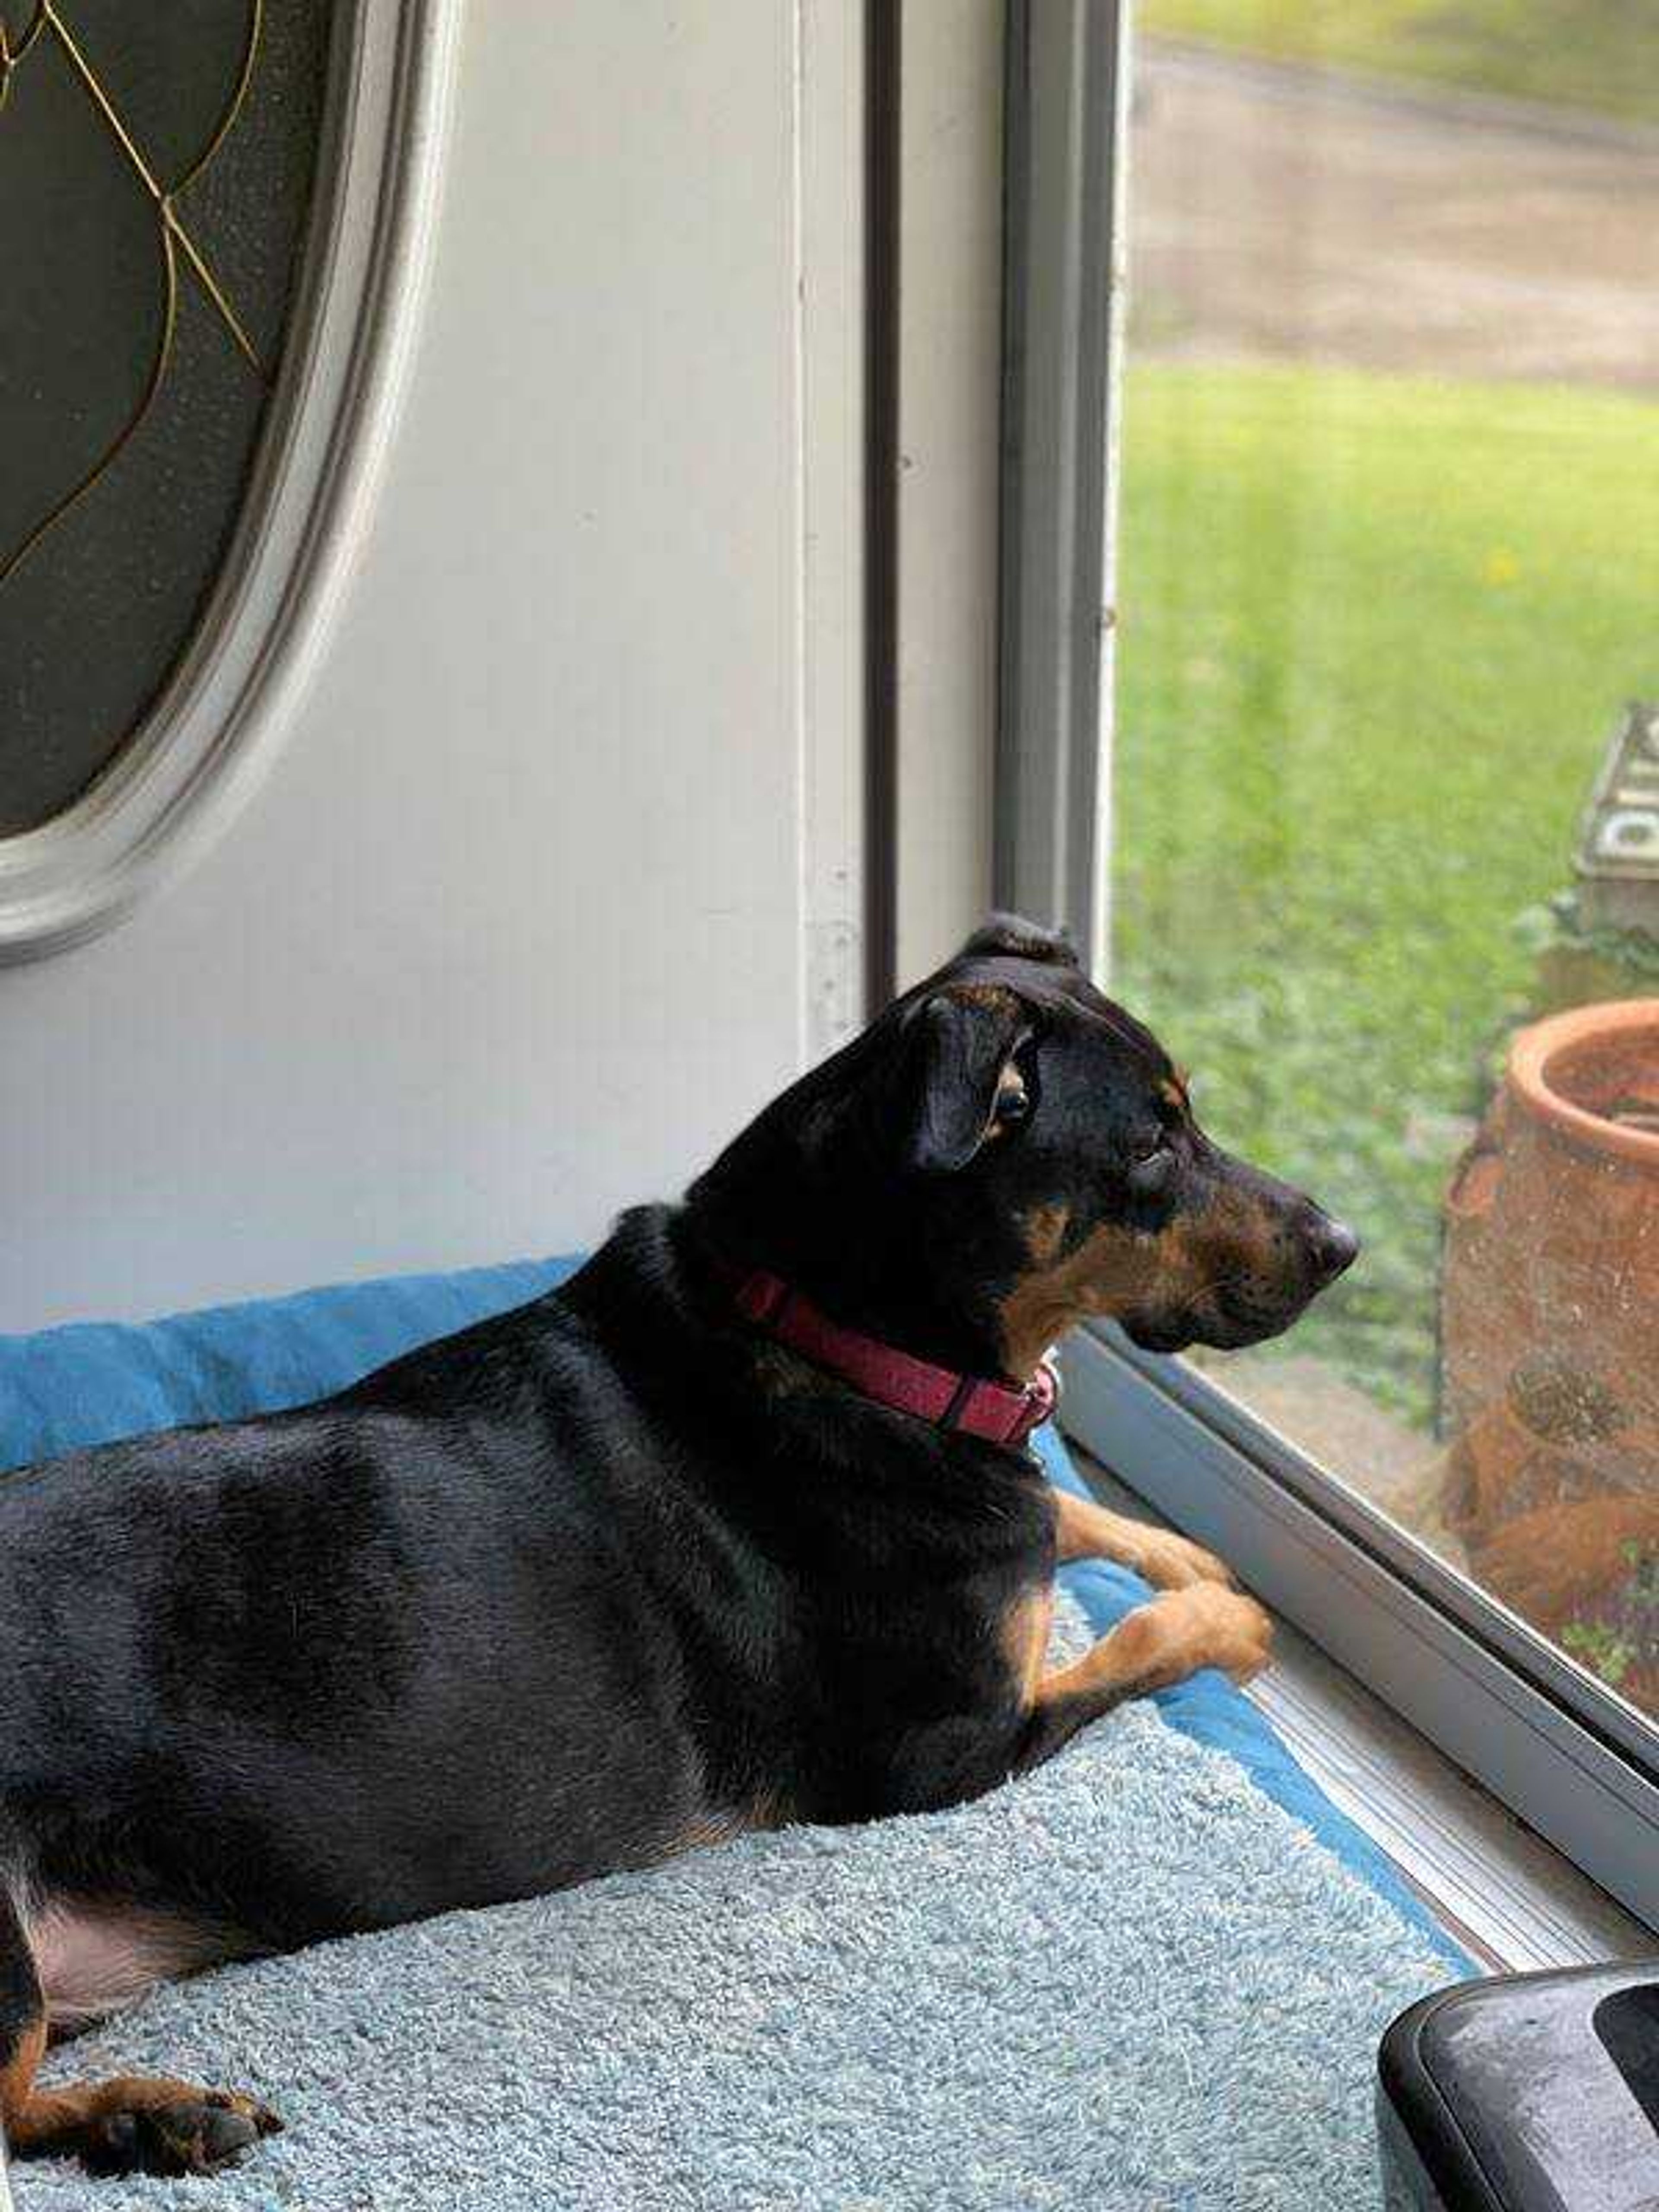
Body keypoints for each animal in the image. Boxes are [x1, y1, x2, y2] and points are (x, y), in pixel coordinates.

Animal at [0, 915, 1354, 2177]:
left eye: (1192, 1117)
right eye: (1151, 1148)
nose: (1342, 1244)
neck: (851, 1347)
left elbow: (1075, 1517)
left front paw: (1191, 1556)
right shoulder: (944, 1755)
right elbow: (1134, 1645)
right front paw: (1233, 1617)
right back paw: (158, 2113)